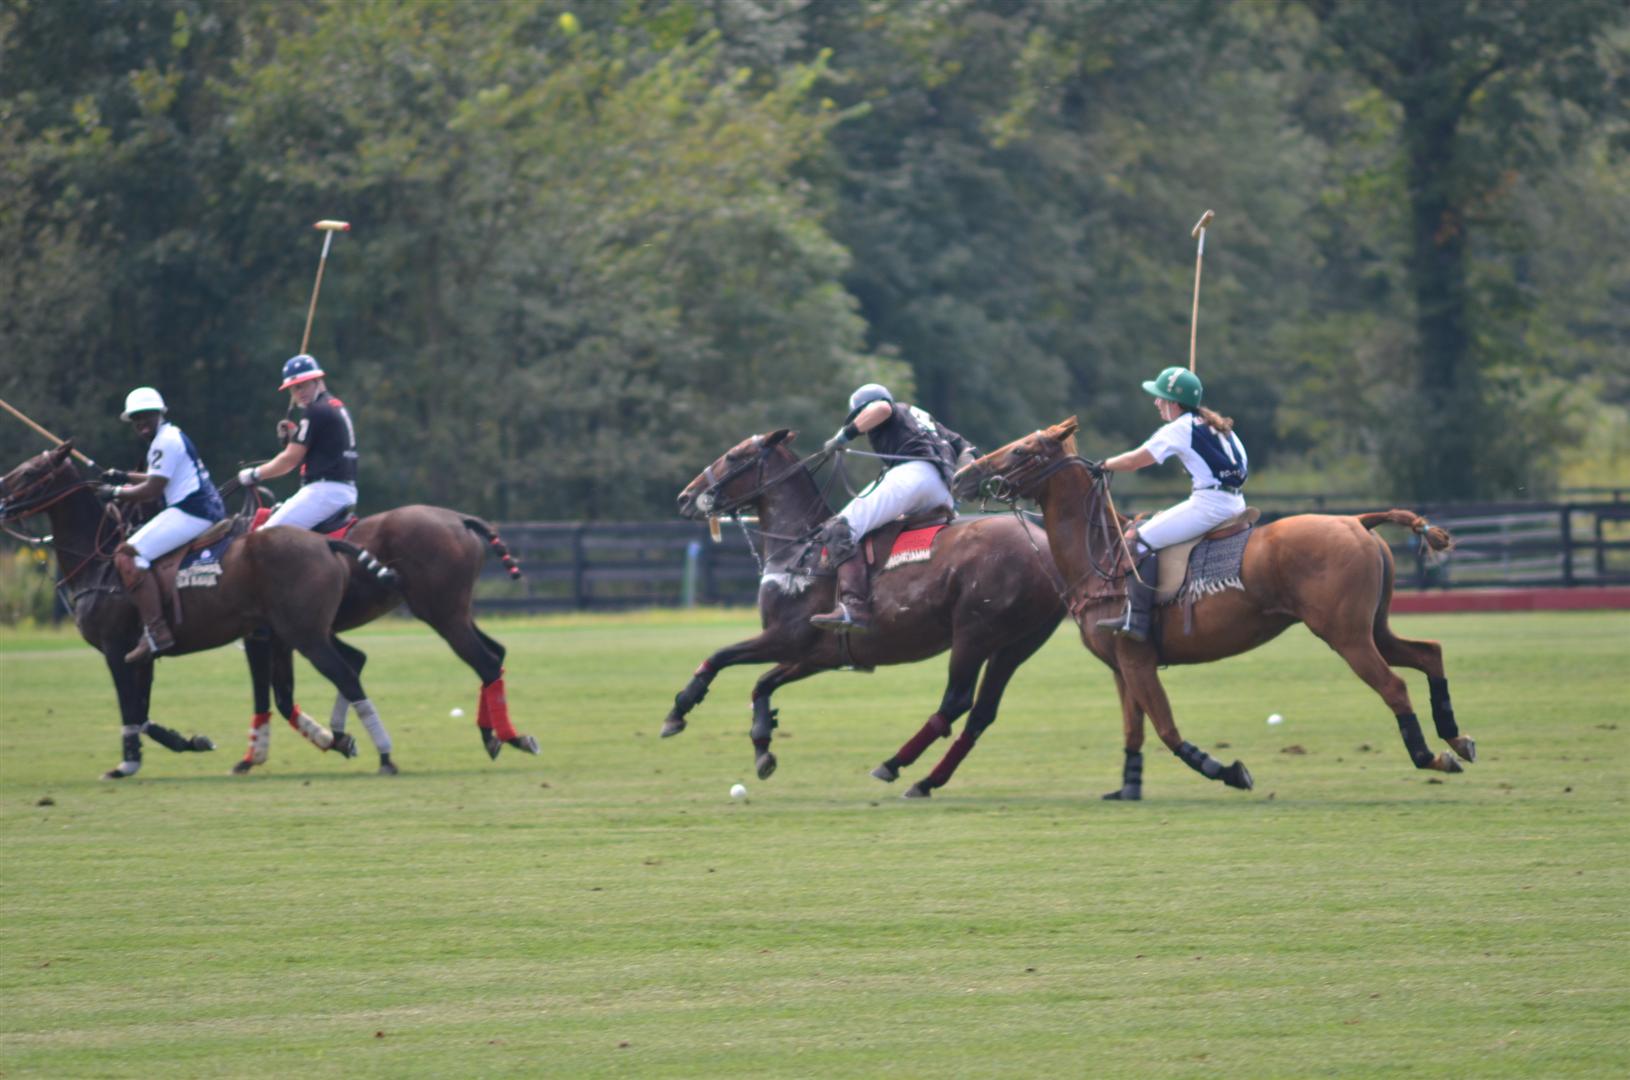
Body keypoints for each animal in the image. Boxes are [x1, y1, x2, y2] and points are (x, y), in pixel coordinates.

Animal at [0, 443, 387, 780]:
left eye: (30, 471)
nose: (1, 501)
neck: (99, 562)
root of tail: (325, 542)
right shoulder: (142, 655)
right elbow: (141, 711)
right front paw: (193, 741)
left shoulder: (115, 649)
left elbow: (129, 708)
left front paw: (126, 764)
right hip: (301, 631)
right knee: (348, 666)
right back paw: (341, 740)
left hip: (304, 634)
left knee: (346, 674)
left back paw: (382, 754)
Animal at [232, 499, 537, 774]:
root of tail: (461, 519)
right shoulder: (293, 637)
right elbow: (298, 691)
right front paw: (337, 739)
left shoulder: (263, 637)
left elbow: (268, 695)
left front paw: (250, 757)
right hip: (455, 613)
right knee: (496, 653)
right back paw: (494, 737)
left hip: (442, 614)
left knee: (486, 662)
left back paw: (509, 737)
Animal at [667, 429, 1066, 797]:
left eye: (734, 457)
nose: (685, 497)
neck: (799, 548)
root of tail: (1044, 547)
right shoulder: (816, 654)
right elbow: (762, 683)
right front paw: (763, 747)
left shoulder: (785, 636)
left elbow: (720, 656)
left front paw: (678, 712)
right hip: (1016, 645)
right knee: (982, 711)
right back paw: (926, 780)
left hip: (974, 633)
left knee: (957, 700)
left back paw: (893, 764)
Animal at [951, 417, 1475, 800]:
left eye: (1022, 450)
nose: (961, 475)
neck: (1102, 554)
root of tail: (1358, 520)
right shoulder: (1122, 664)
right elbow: (1134, 729)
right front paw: (1127, 789)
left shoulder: (1137, 658)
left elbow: (1166, 729)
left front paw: (1231, 771)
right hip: (1372, 627)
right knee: (1428, 651)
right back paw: (1457, 739)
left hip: (1345, 635)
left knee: (1394, 685)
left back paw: (1431, 756)